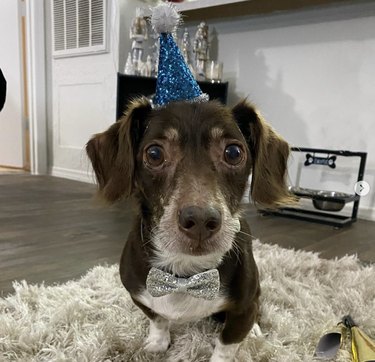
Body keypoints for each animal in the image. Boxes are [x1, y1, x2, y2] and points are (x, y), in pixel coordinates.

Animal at [86, 97, 296, 360]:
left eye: (233, 152)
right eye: (154, 154)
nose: (200, 220)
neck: (185, 272)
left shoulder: (243, 311)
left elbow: (227, 344)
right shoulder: (139, 295)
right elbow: (158, 319)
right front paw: (157, 342)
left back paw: (256, 331)